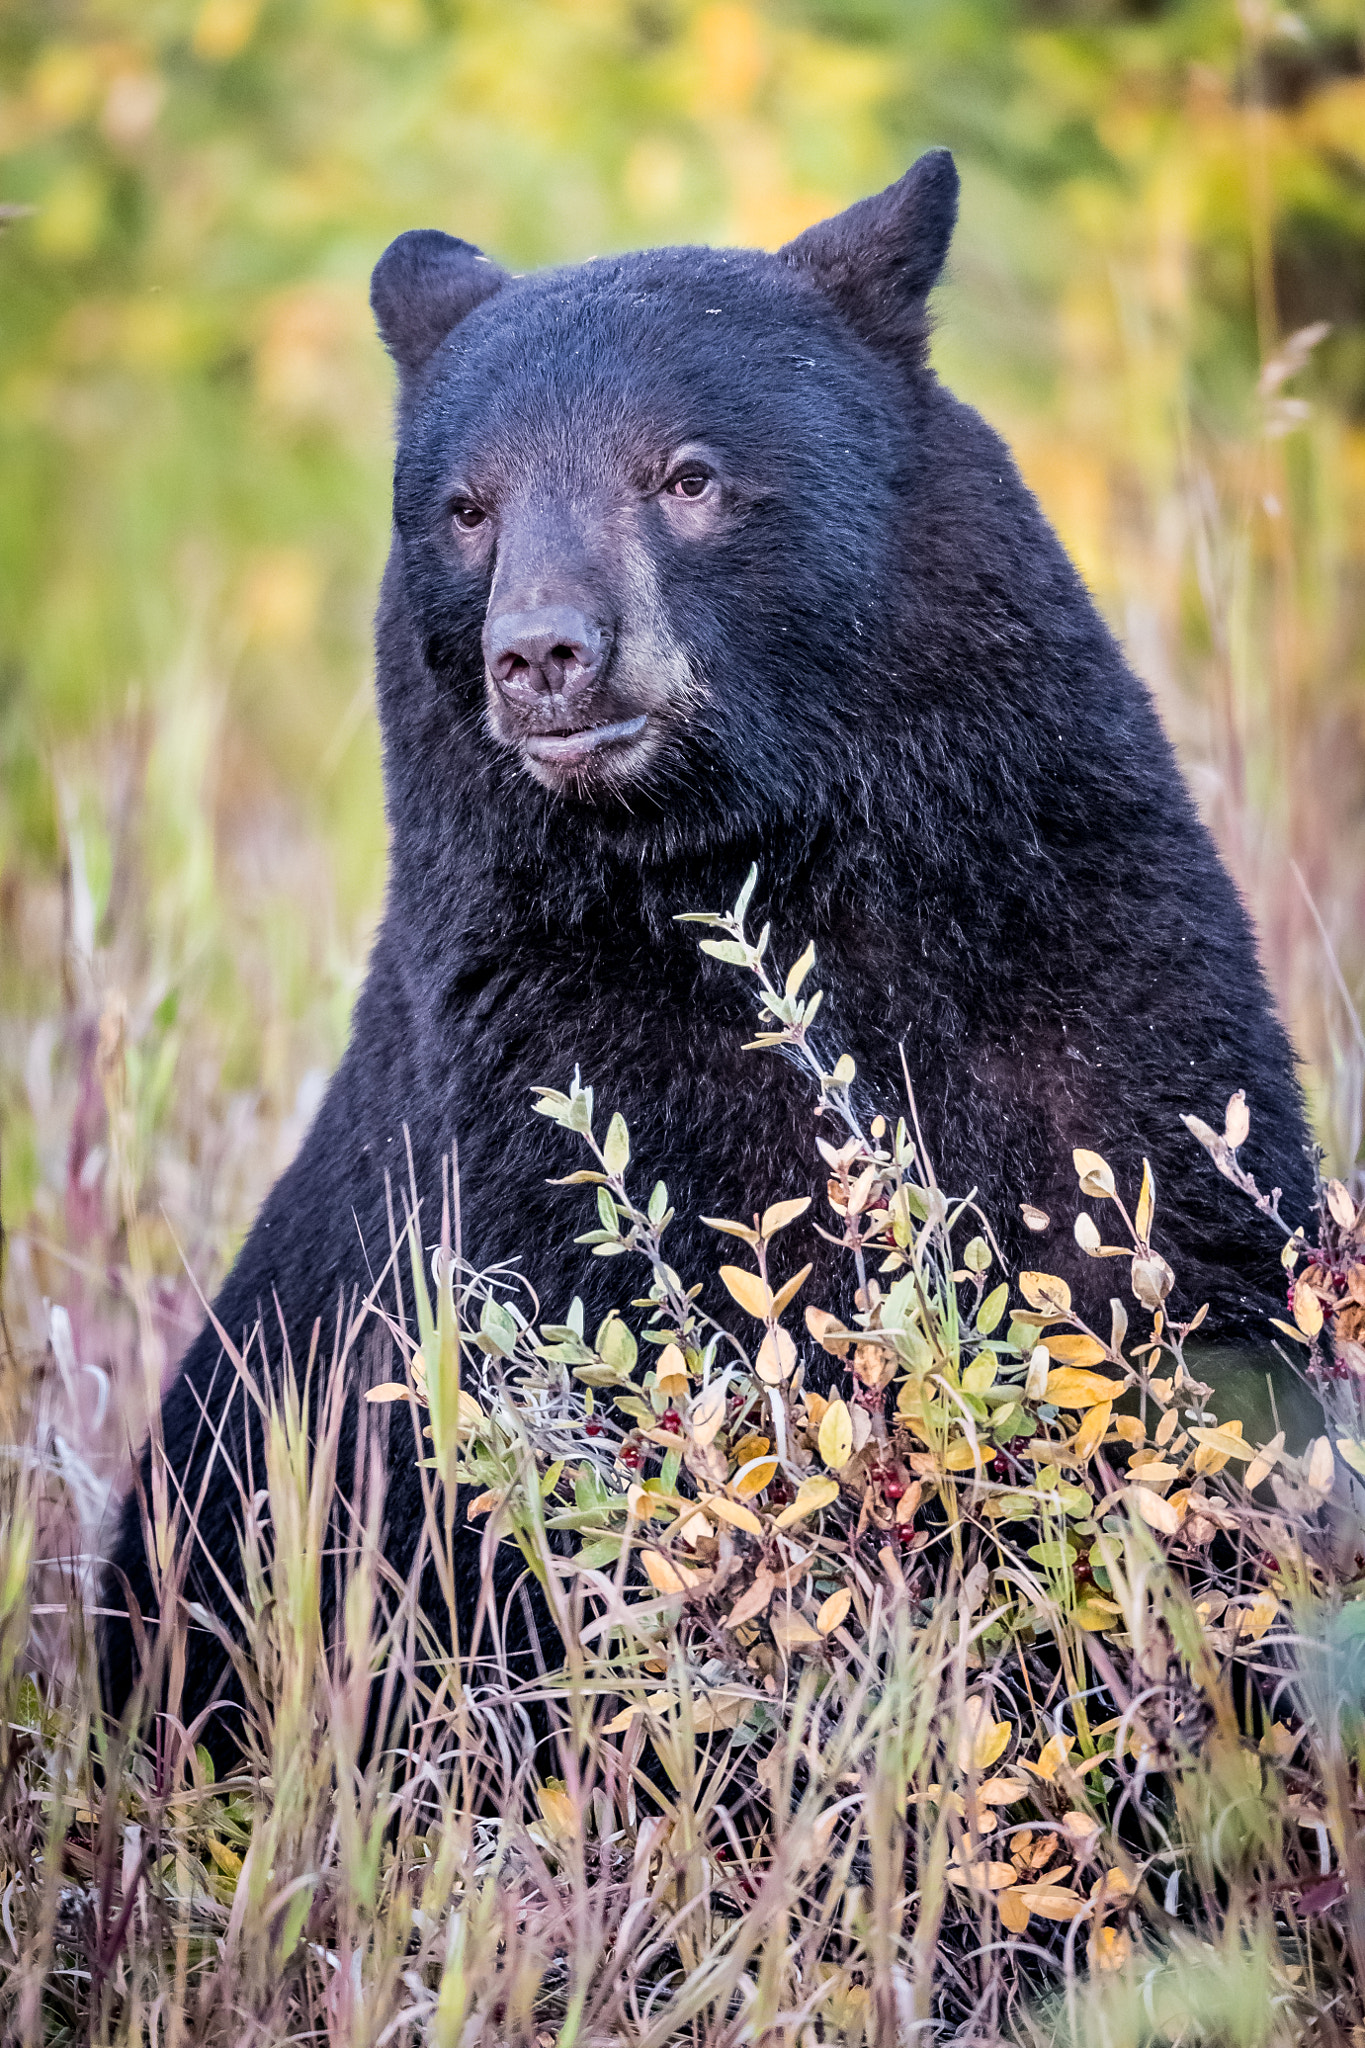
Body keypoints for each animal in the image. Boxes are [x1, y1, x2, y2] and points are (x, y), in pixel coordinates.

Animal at [101, 155, 1317, 1761]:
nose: (543, 654)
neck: (766, 862)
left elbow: (1186, 1258)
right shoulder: (548, 1065)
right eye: (467, 507)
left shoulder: (1083, 936)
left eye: (686, 475)